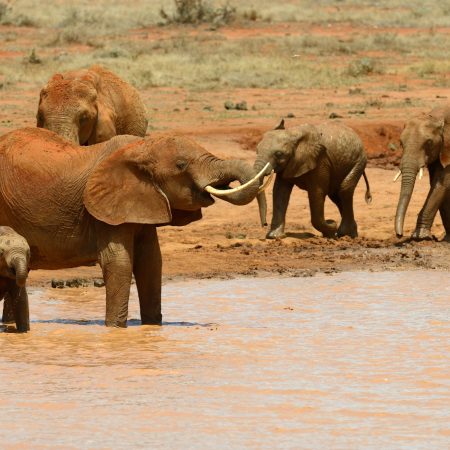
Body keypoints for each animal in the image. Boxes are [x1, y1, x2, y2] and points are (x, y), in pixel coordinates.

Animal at [0, 126, 266, 326]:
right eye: (181, 165)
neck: (140, 148)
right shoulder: (106, 212)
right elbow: (120, 263)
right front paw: (115, 329)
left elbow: (151, 262)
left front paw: (152, 327)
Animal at [394, 105, 450, 241]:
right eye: (401, 143)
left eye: (428, 142)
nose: (399, 235)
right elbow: (436, 181)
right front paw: (447, 239)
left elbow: (443, 182)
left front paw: (420, 237)